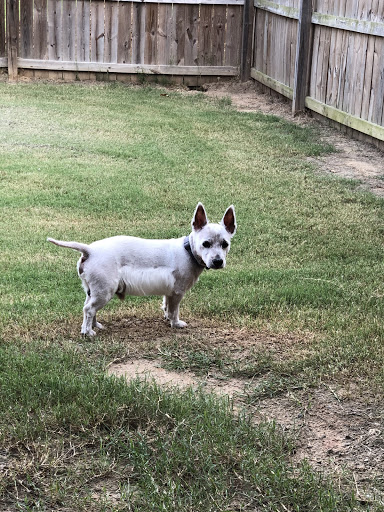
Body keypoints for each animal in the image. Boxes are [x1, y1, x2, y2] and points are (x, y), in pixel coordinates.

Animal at [47, 202, 236, 338]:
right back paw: (88, 332)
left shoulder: (168, 292)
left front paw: (167, 317)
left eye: (225, 244)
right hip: (104, 290)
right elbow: (174, 310)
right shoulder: (177, 292)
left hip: (93, 290)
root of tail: (89, 250)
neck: (188, 250)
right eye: (206, 243)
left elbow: (166, 306)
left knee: (89, 307)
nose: (218, 261)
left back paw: (95, 325)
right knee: (88, 309)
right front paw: (176, 324)